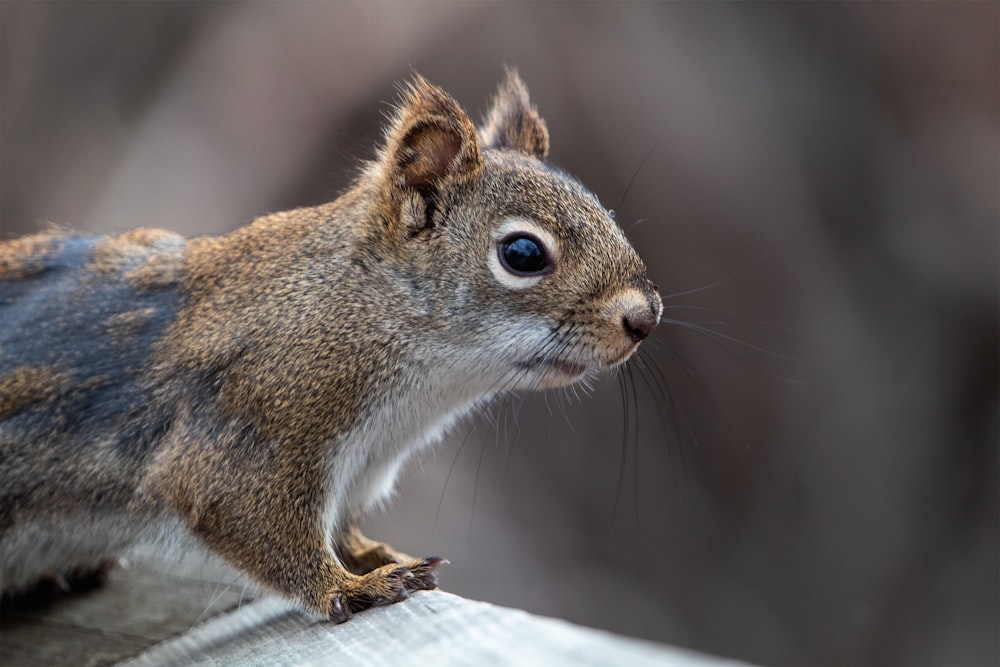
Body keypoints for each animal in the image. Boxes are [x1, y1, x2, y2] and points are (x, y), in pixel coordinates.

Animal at [1, 72, 664, 620]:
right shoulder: (258, 424)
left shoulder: (361, 469)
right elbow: (247, 518)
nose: (644, 318)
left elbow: (344, 532)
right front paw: (350, 587)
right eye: (522, 253)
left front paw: (375, 556)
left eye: (602, 208)